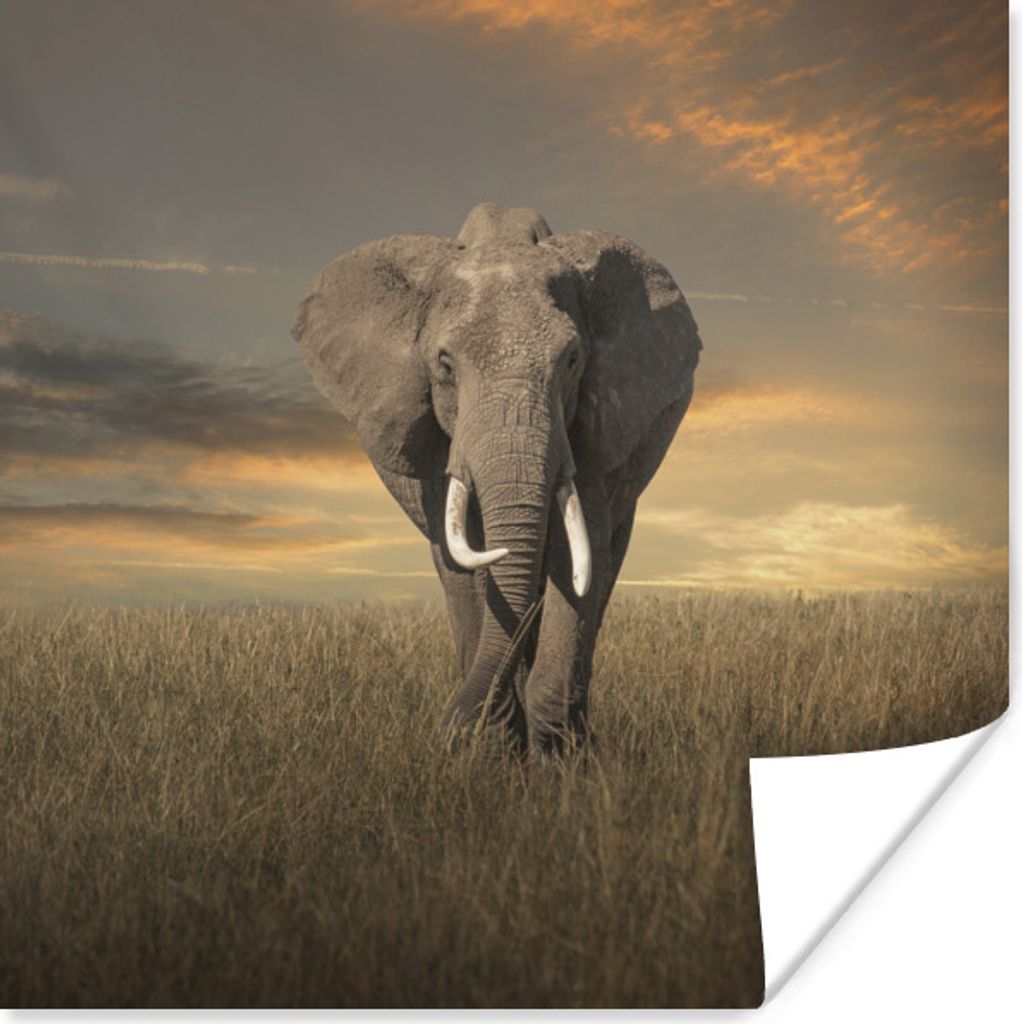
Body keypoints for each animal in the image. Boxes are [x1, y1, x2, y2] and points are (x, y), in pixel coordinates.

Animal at [293, 203, 701, 759]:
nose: (445, 732)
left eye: (572, 360)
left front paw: (559, 761)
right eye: (444, 364)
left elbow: (577, 552)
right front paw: (489, 752)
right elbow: (466, 555)